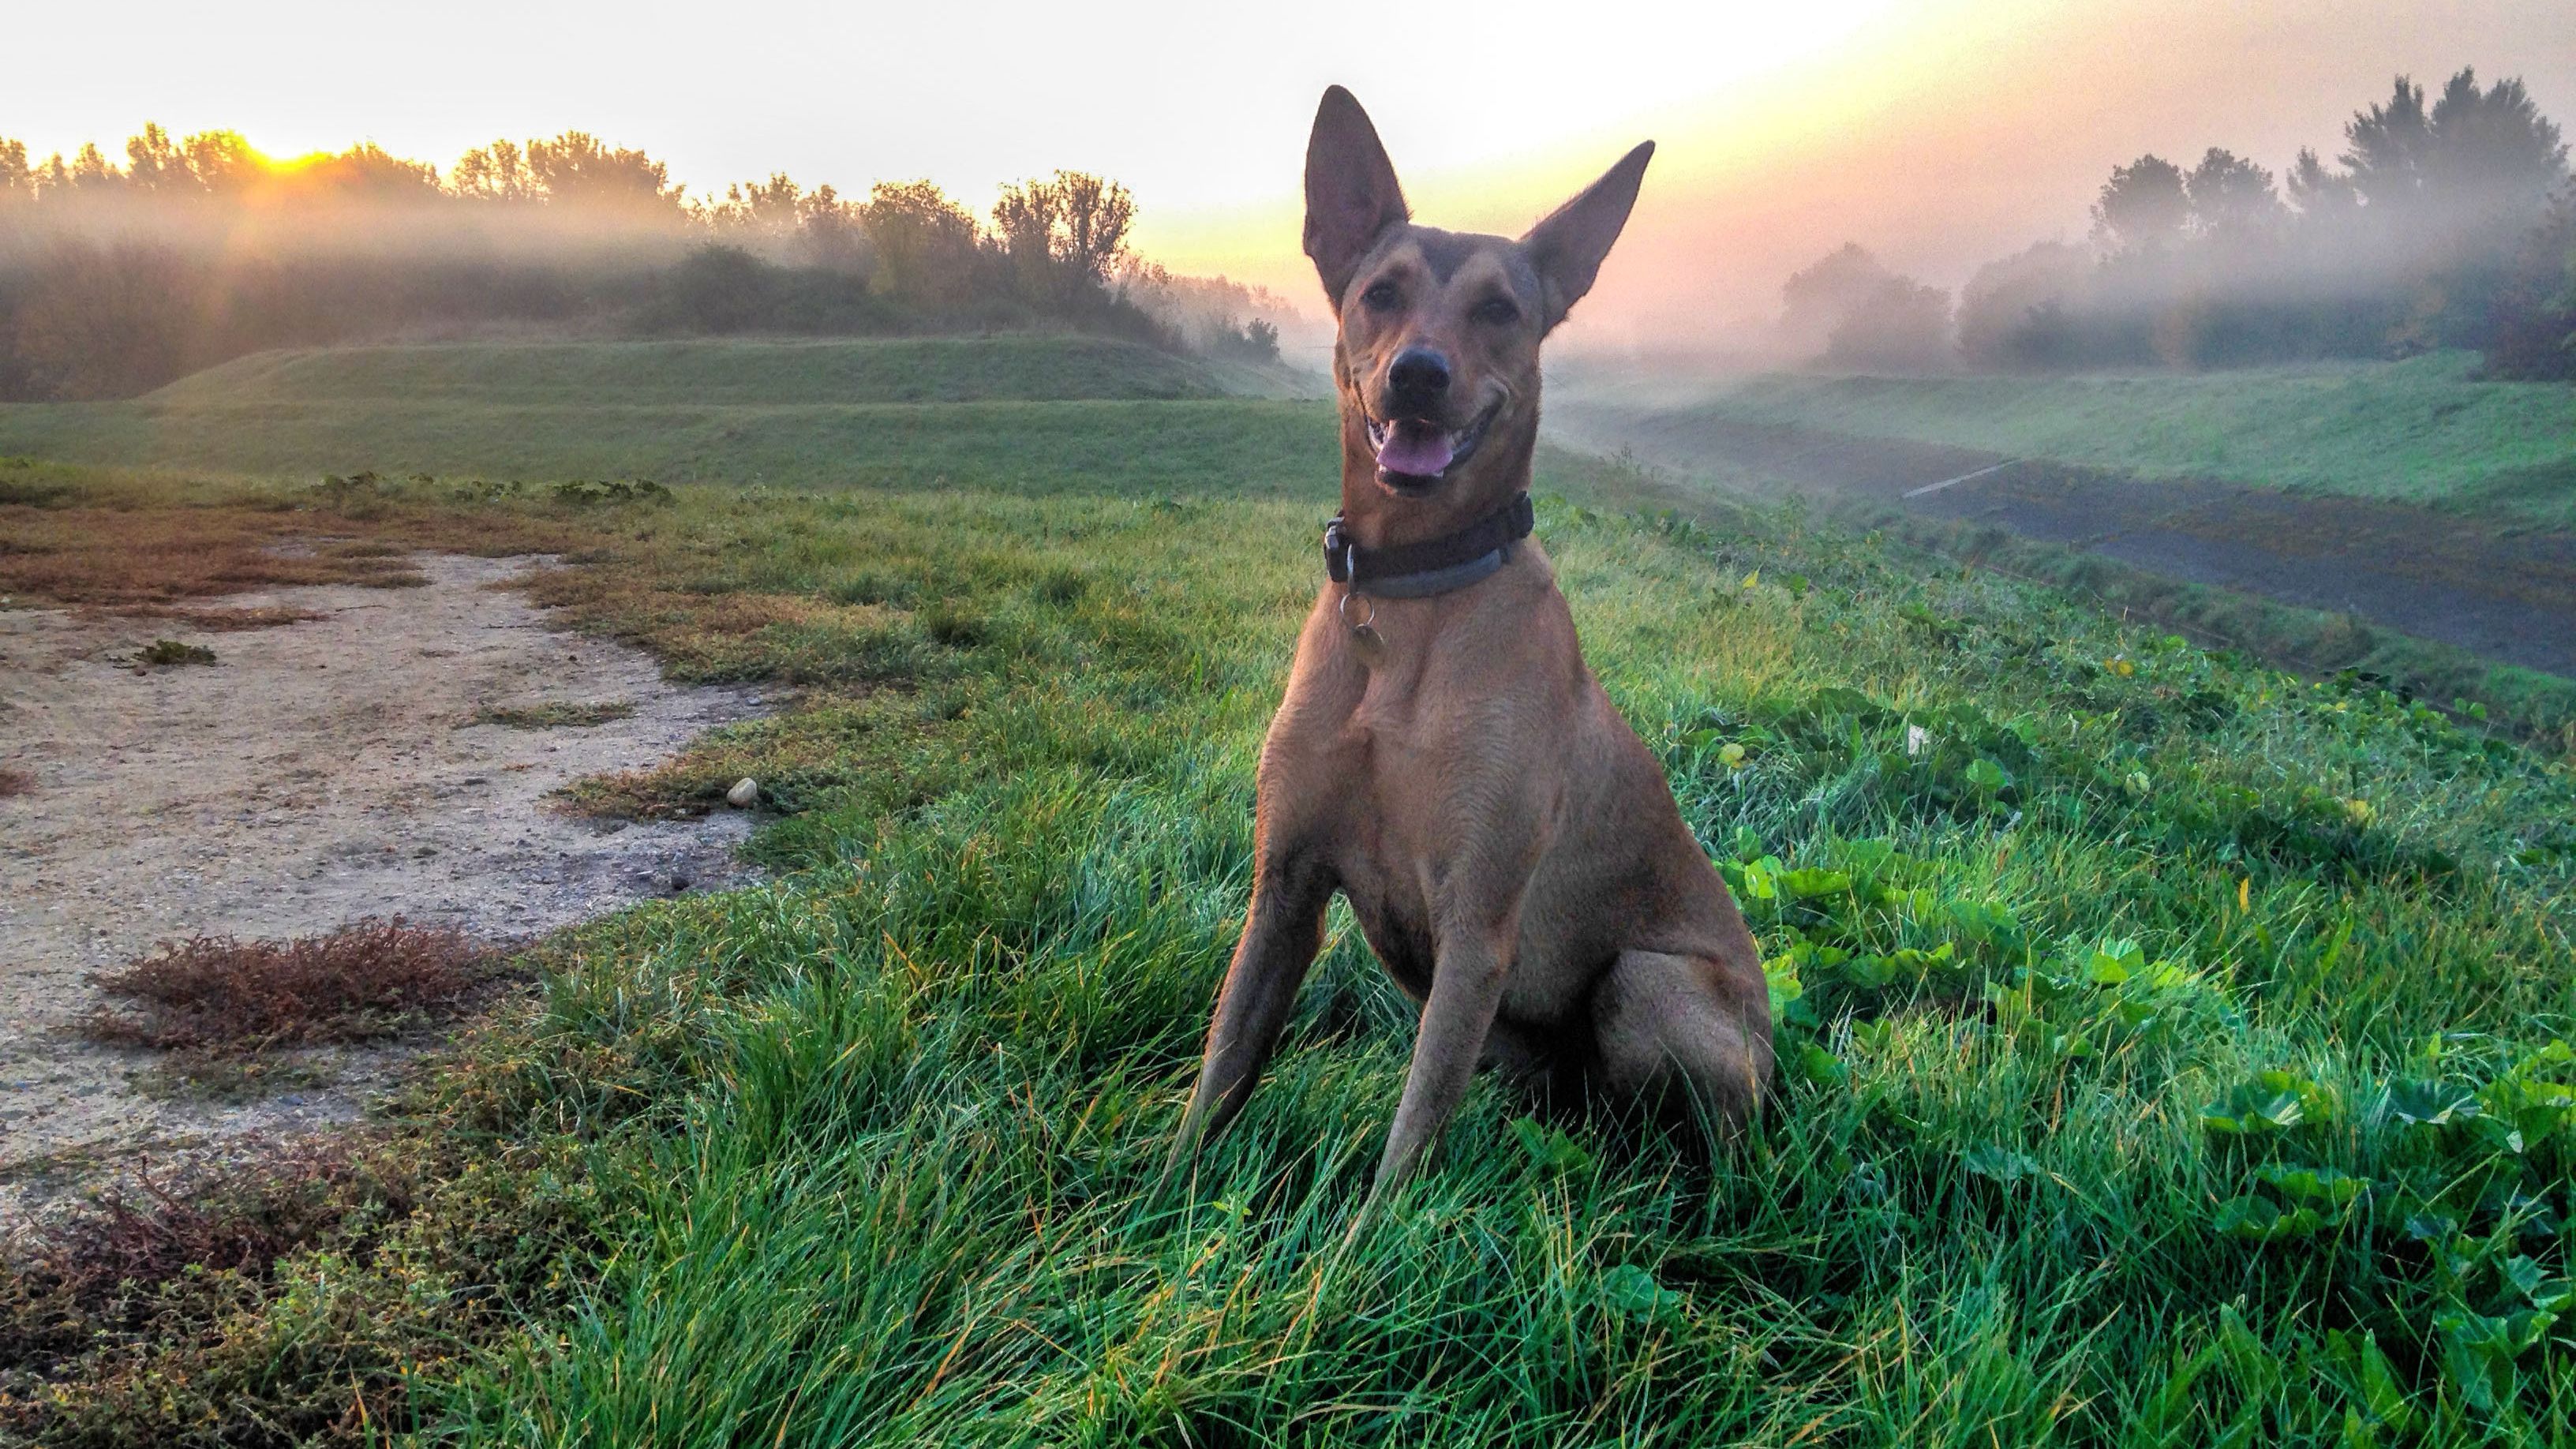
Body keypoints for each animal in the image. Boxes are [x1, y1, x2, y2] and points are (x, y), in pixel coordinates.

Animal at [1174, 88, 1762, 1196]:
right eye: (1381, 293)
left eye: (1500, 311)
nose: (1418, 374)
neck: (1411, 603)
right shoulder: (1284, 893)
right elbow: (1221, 1068)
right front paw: (1155, 1198)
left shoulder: (1478, 931)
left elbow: (1405, 1151)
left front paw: (1364, 1241)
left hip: (1650, 988)